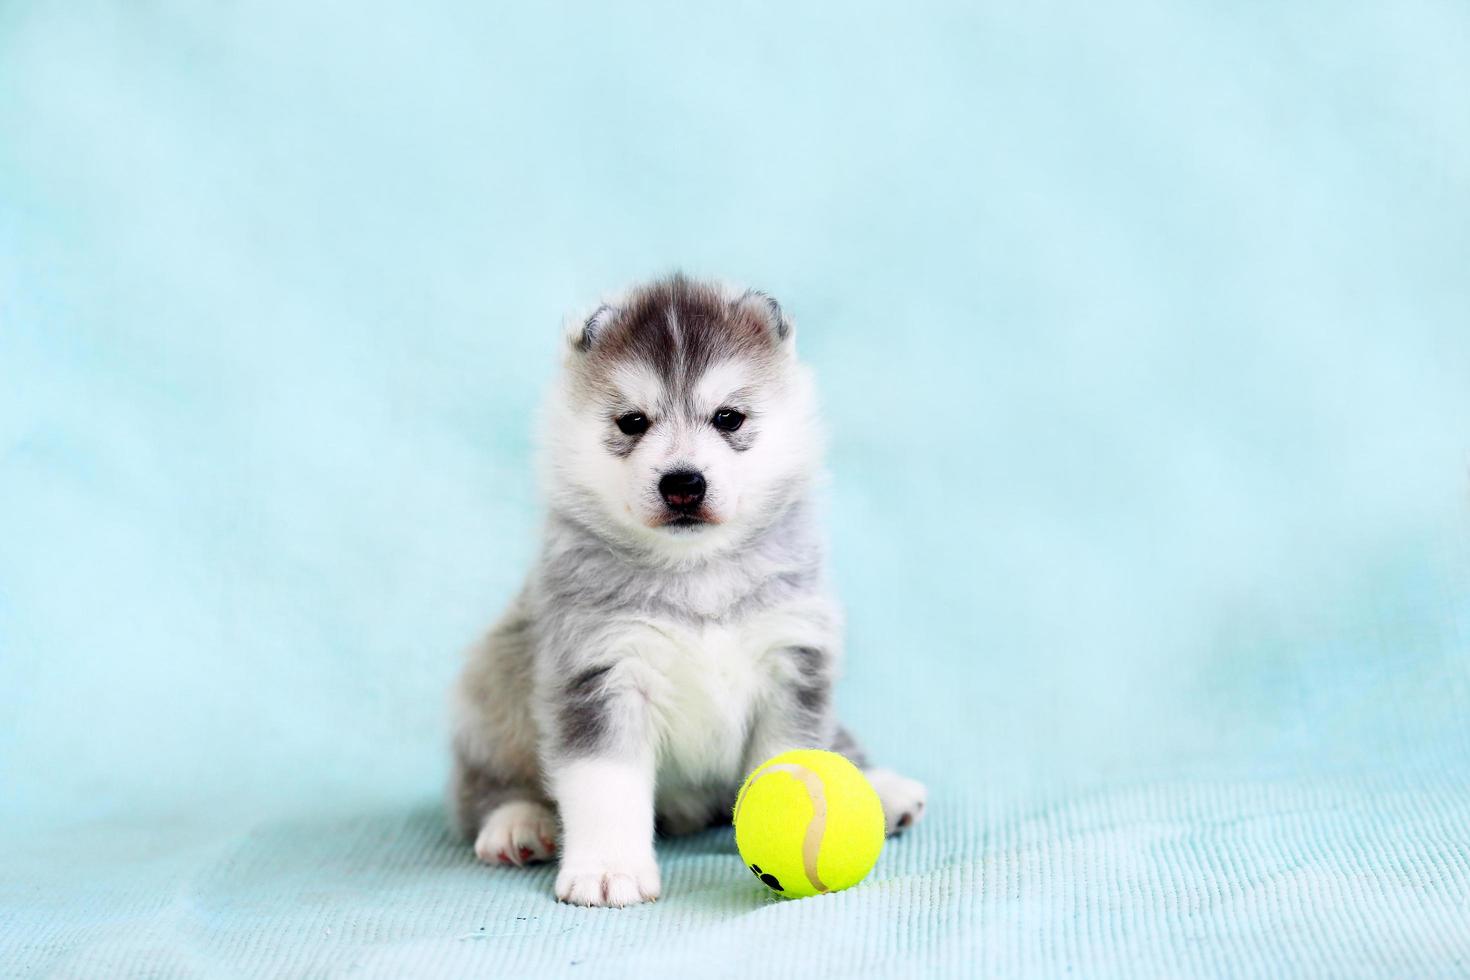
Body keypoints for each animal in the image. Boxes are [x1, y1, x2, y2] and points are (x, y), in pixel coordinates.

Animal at [452, 274, 923, 905]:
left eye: (728, 418)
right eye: (632, 422)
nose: (682, 482)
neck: (696, 570)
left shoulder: (793, 660)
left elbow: (790, 755)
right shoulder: (599, 670)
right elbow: (604, 785)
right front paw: (608, 868)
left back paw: (883, 788)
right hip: (490, 690)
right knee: (484, 786)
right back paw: (517, 823)